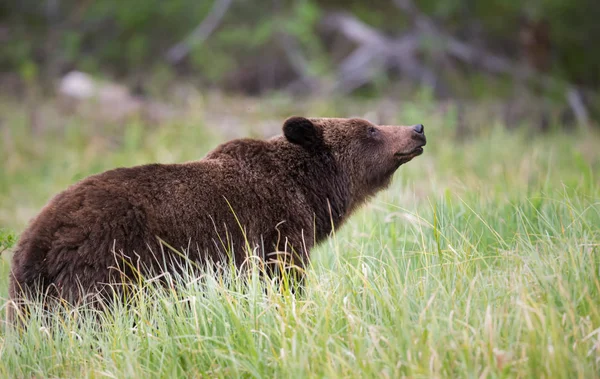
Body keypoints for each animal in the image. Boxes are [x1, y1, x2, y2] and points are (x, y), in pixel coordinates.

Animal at [7, 117, 424, 320]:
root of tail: (40, 234)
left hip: (29, 289)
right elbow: (283, 278)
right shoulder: (277, 229)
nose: (417, 129)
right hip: (105, 264)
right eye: (370, 128)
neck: (310, 190)